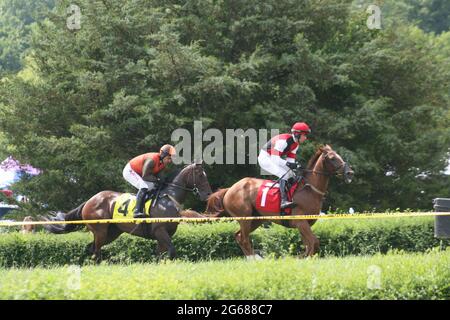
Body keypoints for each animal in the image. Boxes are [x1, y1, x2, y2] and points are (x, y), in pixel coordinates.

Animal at [43, 161, 212, 262]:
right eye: (200, 175)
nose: (208, 195)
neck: (169, 198)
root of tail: (90, 200)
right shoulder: (160, 231)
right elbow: (171, 251)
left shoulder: (165, 234)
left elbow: (160, 254)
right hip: (100, 231)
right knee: (96, 251)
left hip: (112, 232)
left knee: (92, 248)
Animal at [206, 144, 354, 258]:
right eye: (332, 158)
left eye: (339, 155)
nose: (349, 173)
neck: (310, 189)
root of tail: (230, 189)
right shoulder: (300, 222)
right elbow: (314, 243)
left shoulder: (305, 224)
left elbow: (309, 245)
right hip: (245, 218)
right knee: (244, 239)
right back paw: (255, 260)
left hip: (256, 219)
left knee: (238, 236)